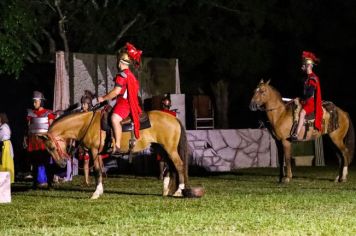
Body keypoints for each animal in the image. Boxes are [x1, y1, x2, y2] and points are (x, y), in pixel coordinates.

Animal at [38, 109, 189, 198]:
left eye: (52, 147)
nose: (61, 163)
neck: (86, 124)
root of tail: (174, 119)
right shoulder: (98, 154)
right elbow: (99, 170)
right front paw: (99, 191)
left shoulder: (94, 151)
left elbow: (97, 171)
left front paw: (95, 193)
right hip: (161, 148)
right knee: (169, 166)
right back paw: (165, 190)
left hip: (170, 149)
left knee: (179, 165)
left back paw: (178, 191)